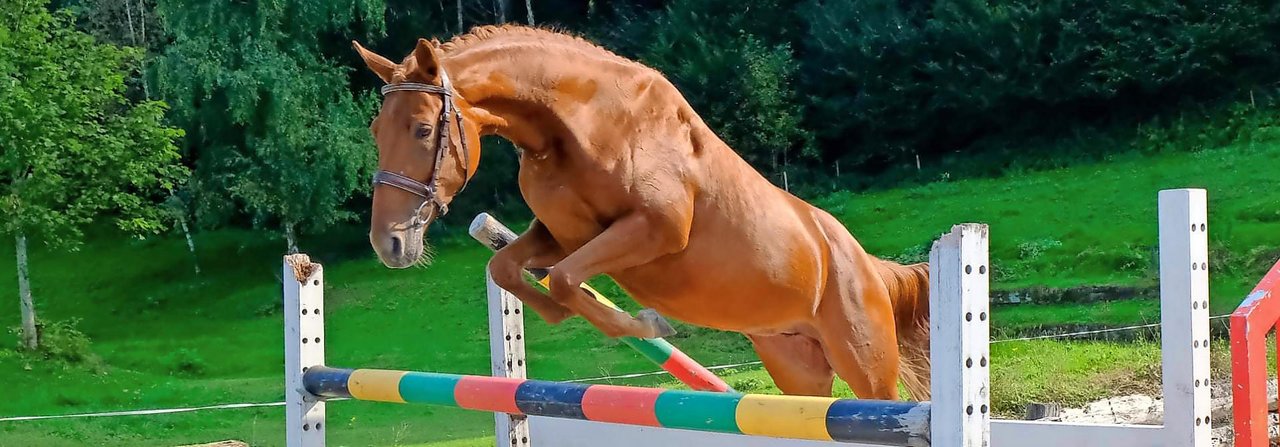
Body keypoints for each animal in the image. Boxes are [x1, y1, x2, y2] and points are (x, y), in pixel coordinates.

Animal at [350, 26, 931, 399]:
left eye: (423, 129)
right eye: (377, 130)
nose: (388, 244)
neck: (576, 125)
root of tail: (870, 267)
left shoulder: (655, 230)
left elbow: (564, 278)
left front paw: (648, 322)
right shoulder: (560, 234)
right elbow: (510, 268)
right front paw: (581, 314)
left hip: (866, 364)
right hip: (798, 367)